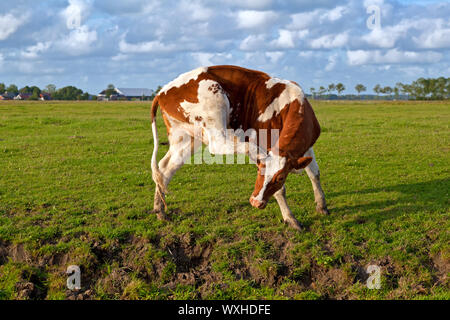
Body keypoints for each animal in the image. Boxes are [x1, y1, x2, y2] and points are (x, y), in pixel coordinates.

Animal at [149, 65, 328, 230]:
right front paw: (290, 218)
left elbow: (315, 173)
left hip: (186, 137)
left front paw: (322, 205)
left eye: (281, 177)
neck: (290, 103)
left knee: (164, 169)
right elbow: (281, 190)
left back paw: (159, 210)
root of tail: (162, 92)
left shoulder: (305, 148)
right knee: (219, 145)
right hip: (215, 108)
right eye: (259, 171)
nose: (255, 202)